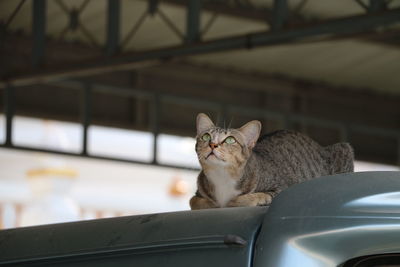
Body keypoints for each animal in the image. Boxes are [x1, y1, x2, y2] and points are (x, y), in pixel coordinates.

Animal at [190, 112, 354, 209]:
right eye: (206, 137)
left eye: (230, 140)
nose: (212, 144)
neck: (222, 176)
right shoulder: (198, 193)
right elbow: (195, 201)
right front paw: (213, 203)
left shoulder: (283, 189)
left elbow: (258, 196)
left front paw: (231, 202)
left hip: (343, 148)